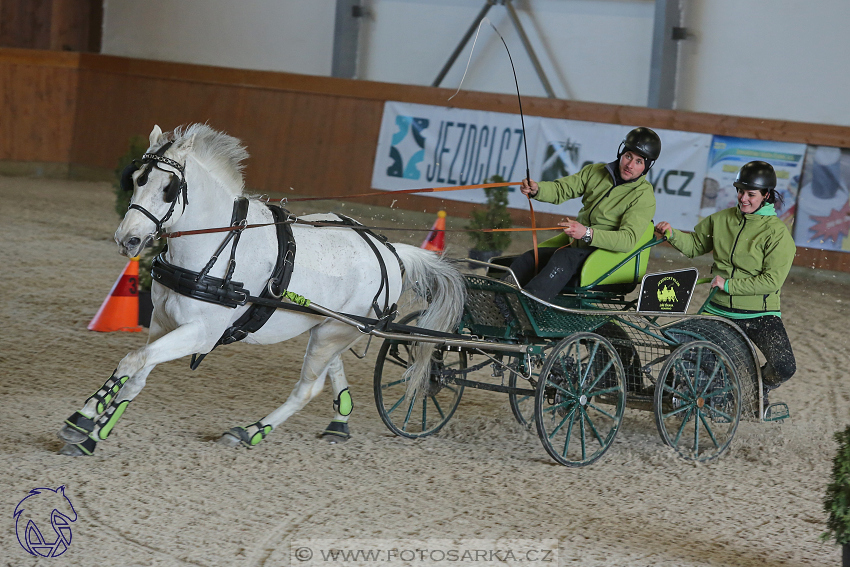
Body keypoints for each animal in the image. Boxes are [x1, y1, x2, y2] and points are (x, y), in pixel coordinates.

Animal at [58, 124, 464, 458]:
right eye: (137, 179)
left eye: (168, 188)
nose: (127, 239)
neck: (216, 242)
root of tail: (390, 252)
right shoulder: (162, 323)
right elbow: (138, 372)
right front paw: (96, 432)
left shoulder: (201, 334)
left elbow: (133, 361)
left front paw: (82, 419)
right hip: (330, 326)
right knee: (331, 368)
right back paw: (339, 421)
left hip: (333, 331)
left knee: (307, 388)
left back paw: (251, 431)